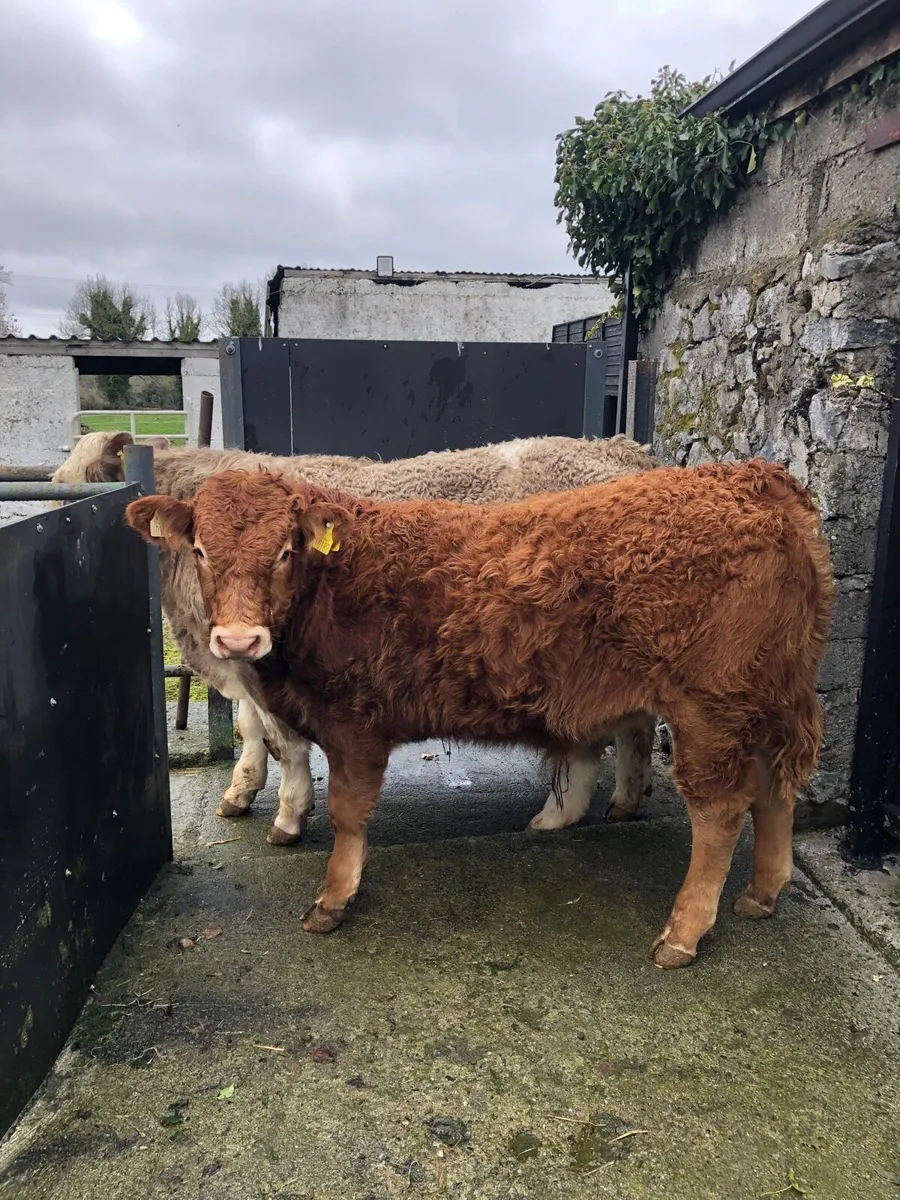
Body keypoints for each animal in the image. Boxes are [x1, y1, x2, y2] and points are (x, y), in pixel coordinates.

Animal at [54, 430, 658, 842]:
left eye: (75, 486)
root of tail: (624, 450)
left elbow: (284, 741)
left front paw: (289, 814)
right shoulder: (237, 653)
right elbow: (253, 730)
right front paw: (242, 790)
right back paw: (625, 801)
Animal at [126, 459, 834, 968]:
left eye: (283, 550)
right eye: (200, 550)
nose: (238, 640)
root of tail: (753, 478)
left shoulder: (355, 722)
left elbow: (349, 812)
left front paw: (333, 896)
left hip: (712, 709)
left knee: (721, 810)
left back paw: (683, 933)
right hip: (764, 700)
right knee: (774, 790)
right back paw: (761, 894)